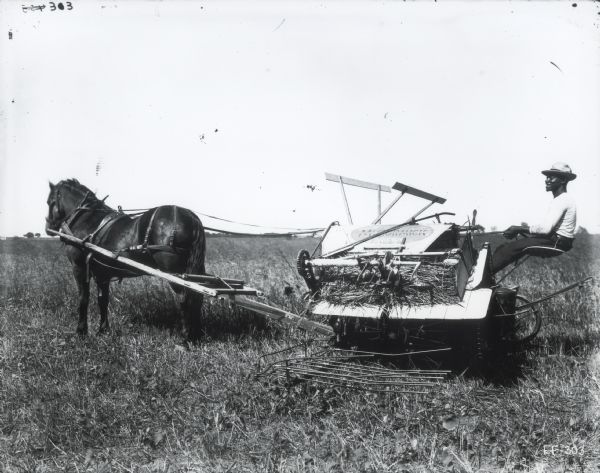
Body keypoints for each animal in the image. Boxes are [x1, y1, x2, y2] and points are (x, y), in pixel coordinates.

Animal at [44, 178, 206, 340]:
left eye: (50, 202)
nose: (48, 228)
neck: (88, 220)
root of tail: (190, 216)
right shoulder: (102, 273)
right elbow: (103, 300)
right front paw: (103, 330)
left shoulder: (79, 268)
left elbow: (83, 299)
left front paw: (81, 331)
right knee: (197, 296)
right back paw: (196, 334)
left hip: (175, 272)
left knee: (185, 298)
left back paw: (186, 336)